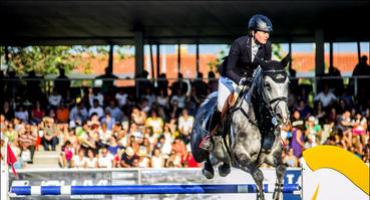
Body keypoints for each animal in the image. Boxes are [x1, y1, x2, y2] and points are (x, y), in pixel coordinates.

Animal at [191, 55, 292, 200]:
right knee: (204, 157)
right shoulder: (240, 155)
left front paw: (276, 195)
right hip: (197, 149)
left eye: (287, 83)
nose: (282, 115)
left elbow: (281, 169)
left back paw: (223, 169)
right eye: (267, 85)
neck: (261, 123)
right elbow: (258, 175)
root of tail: (205, 101)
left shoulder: (272, 155)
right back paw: (208, 168)